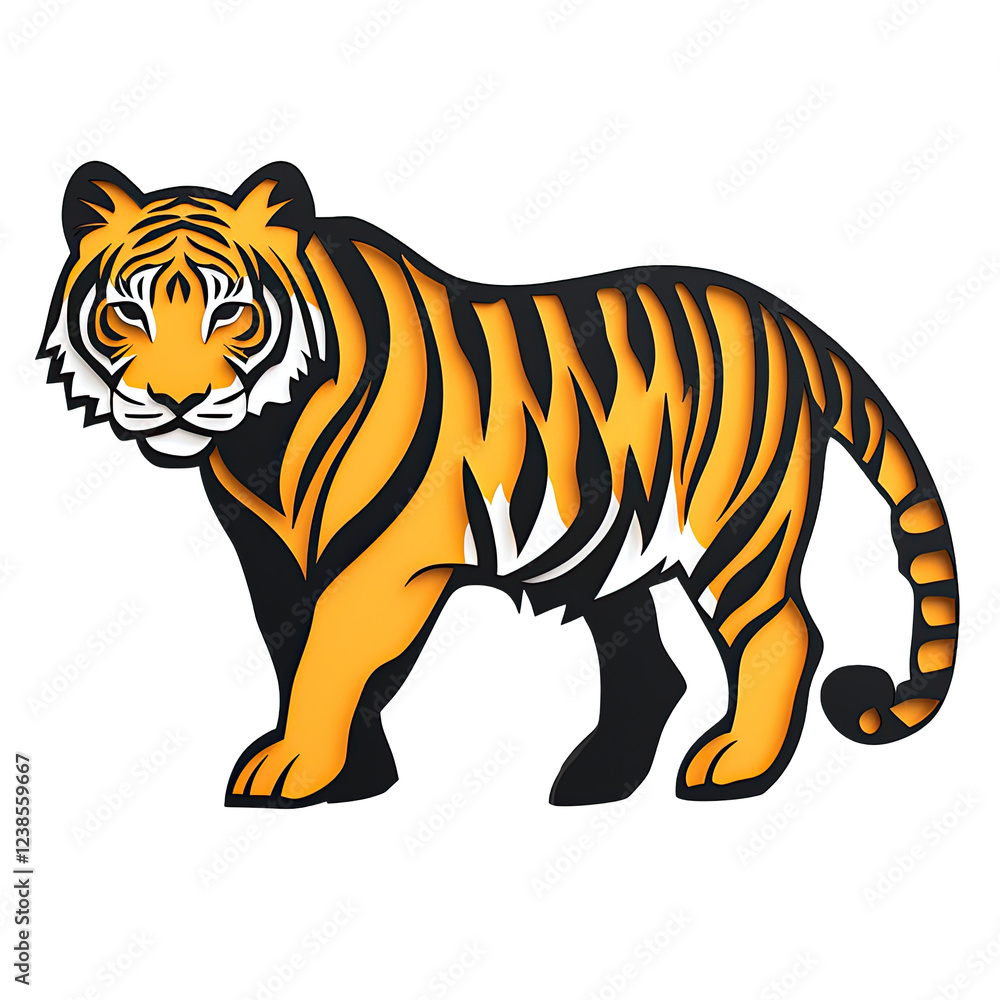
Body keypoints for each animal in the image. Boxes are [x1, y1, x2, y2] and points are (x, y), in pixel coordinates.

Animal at [39, 160, 958, 809]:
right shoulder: (271, 556)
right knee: (652, 665)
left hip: (734, 526)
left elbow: (334, 652)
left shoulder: (389, 558)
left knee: (783, 632)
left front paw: (295, 767)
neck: (263, 438)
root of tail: (786, 319)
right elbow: (295, 649)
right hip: (612, 540)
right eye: (129, 310)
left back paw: (733, 767)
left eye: (229, 310)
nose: (176, 400)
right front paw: (355, 778)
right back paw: (597, 779)